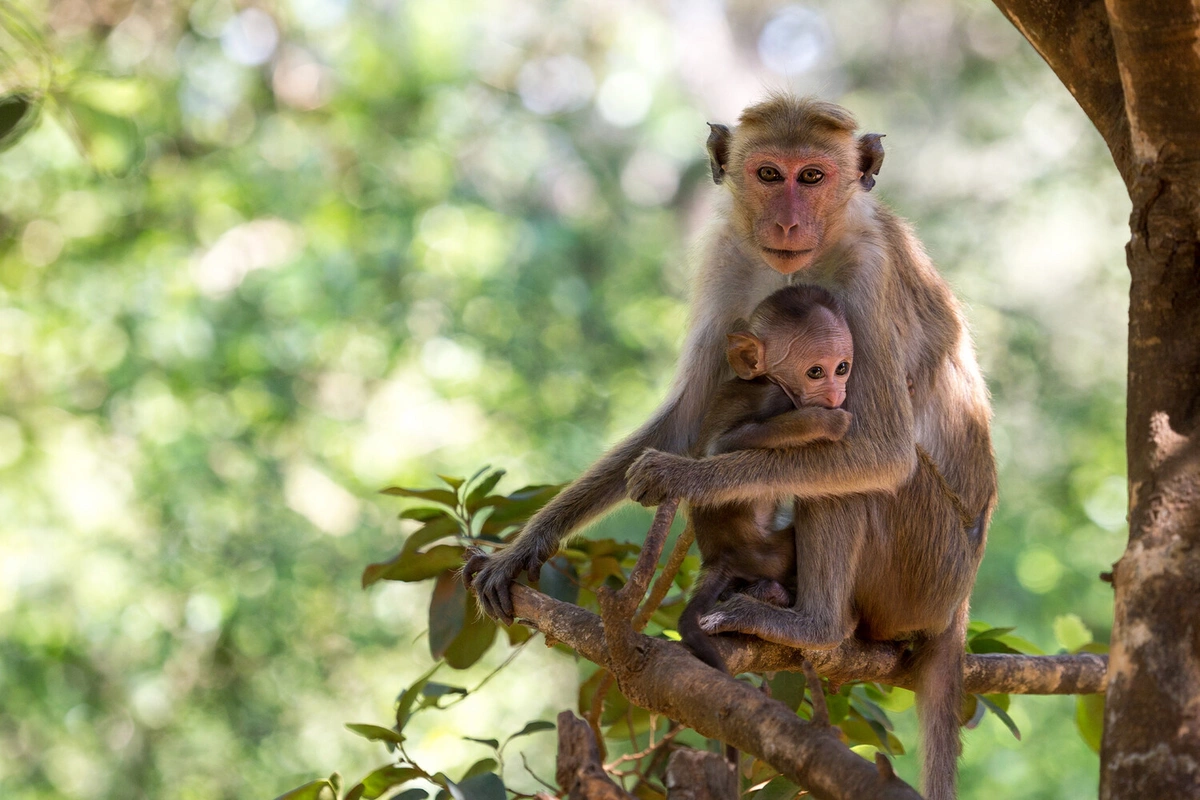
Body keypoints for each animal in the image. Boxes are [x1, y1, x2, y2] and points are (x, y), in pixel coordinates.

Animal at [678, 283, 854, 677]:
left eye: (842, 368)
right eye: (815, 372)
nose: (836, 395)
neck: (763, 379)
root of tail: (719, 556)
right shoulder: (774, 396)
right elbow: (722, 446)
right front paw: (826, 423)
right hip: (769, 552)